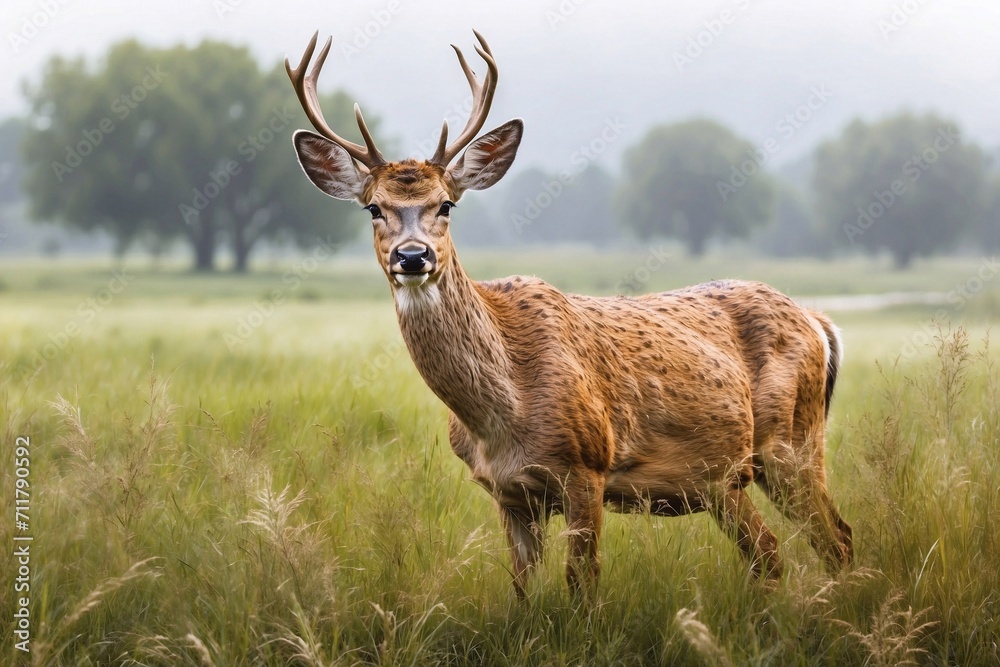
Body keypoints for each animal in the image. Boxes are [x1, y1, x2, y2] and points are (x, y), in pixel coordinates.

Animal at [285, 31, 853, 599]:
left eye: (446, 204)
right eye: (373, 208)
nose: (412, 256)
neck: (500, 416)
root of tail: (819, 323)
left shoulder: (587, 466)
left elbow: (582, 583)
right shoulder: (508, 493)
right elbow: (521, 592)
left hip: (792, 442)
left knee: (831, 538)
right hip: (724, 479)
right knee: (777, 551)